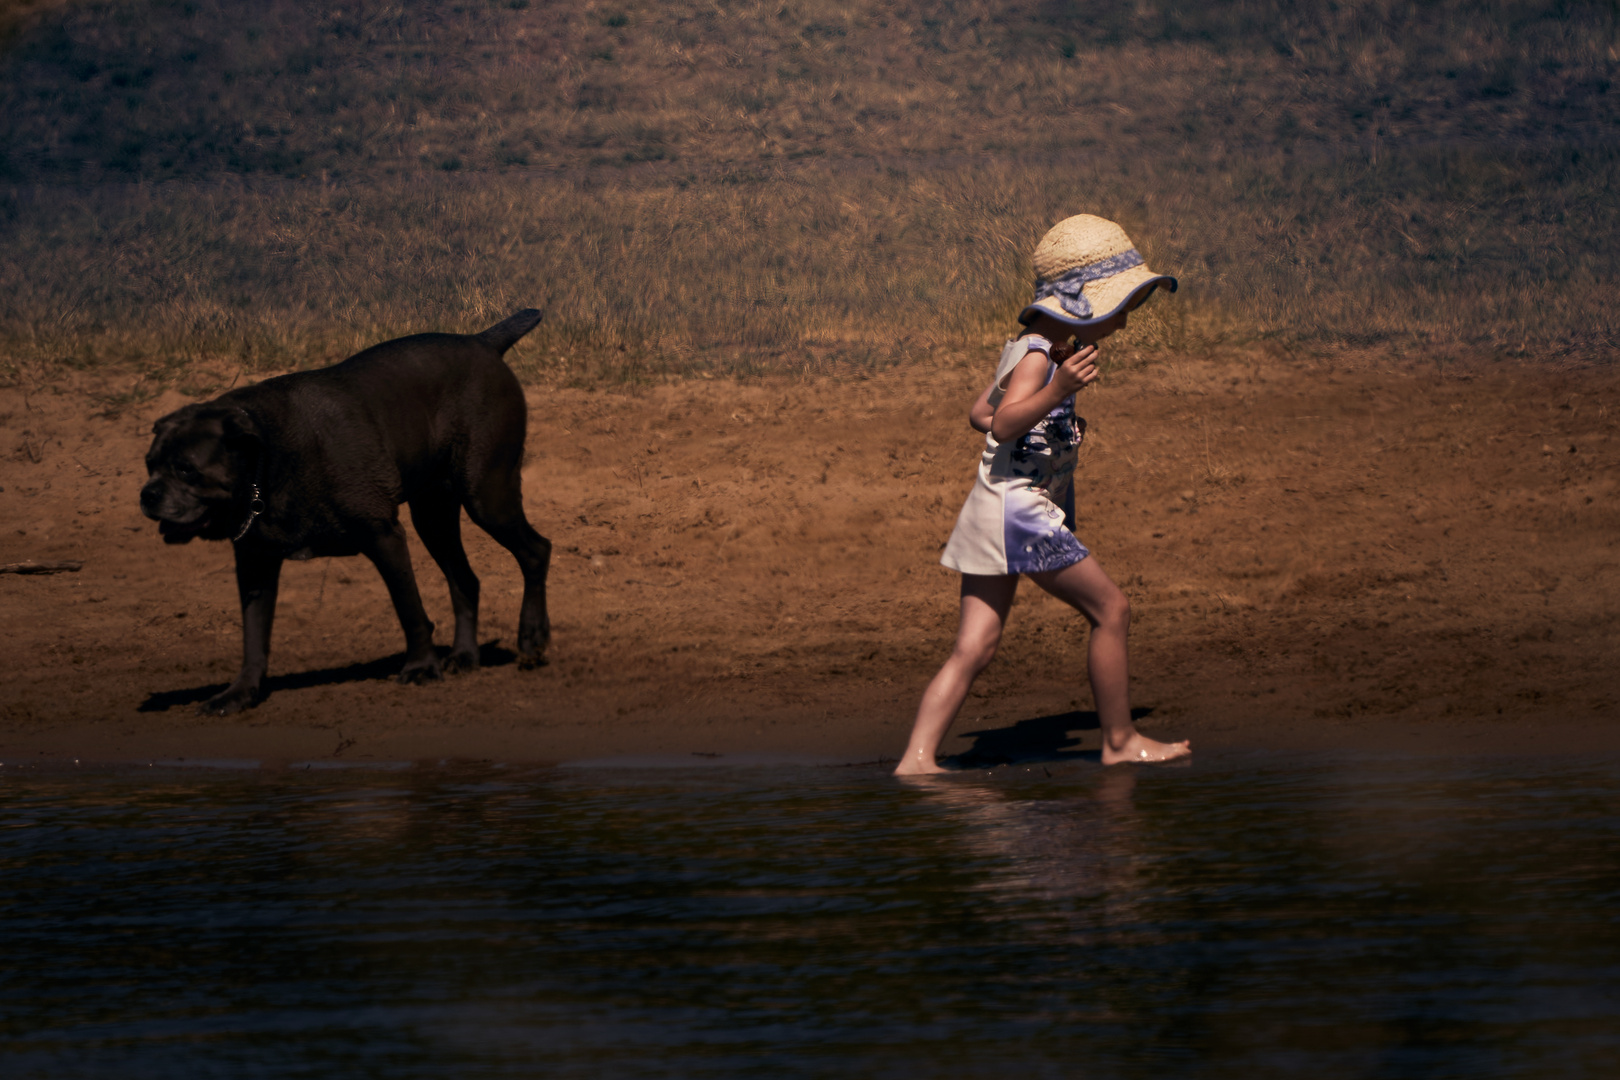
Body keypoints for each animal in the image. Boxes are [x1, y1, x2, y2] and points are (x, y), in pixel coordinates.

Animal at [136, 307, 550, 712]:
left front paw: (420, 667)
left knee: (536, 551)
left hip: (486, 496)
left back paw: (532, 637)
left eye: (186, 469)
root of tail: (482, 341)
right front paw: (240, 693)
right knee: (465, 579)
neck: (267, 463)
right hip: (433, 515)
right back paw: (465, 656)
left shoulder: (383, 535)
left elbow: (409, 609)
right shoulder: (255, 564)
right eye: (149, 463)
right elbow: (254, 636)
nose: (147, 494)